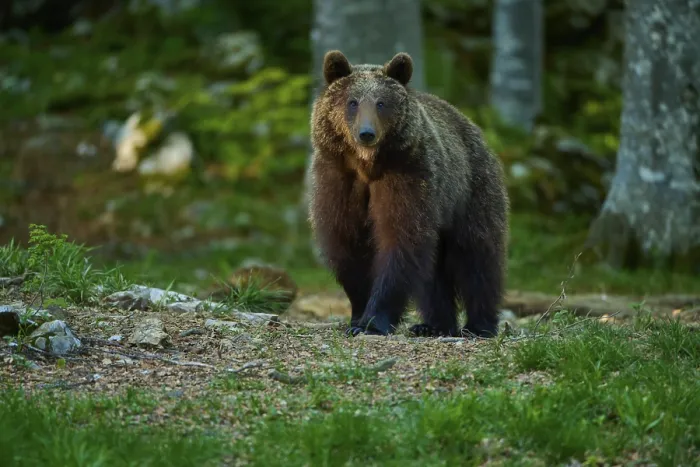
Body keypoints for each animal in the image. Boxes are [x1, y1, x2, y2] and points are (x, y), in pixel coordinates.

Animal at [307, 50, 509, 338]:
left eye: (381, 103)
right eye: (352, 102)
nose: (366, 133)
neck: (366, 166)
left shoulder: (408, 174)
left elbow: (401, 240)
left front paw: (373, 322)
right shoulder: (337, 180)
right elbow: (347, 245)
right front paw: (357, 316)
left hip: (471, 190)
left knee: (477, 258)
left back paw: (479, 325)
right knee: (434, 272)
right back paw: (433, 325)